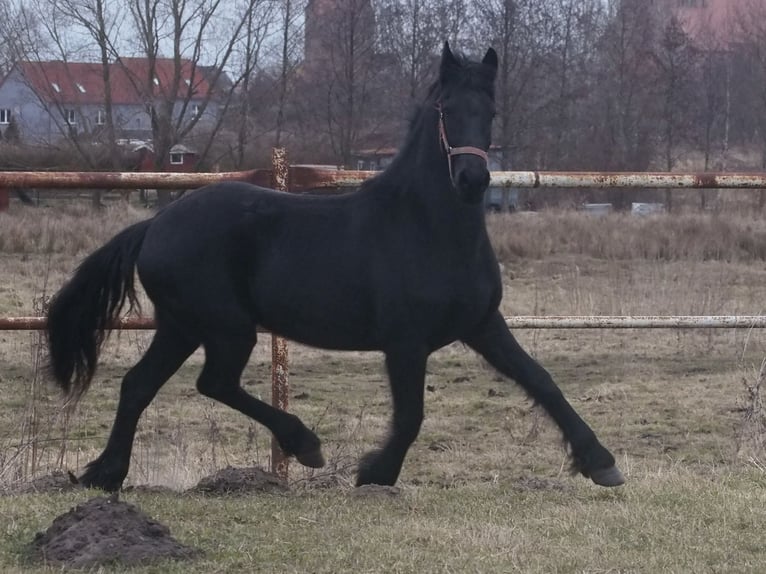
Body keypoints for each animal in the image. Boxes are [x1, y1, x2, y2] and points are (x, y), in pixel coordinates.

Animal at [45, 44, 628, 490]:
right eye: (446, 108)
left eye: (490, 111)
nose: (472, 179)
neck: (427, 229)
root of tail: (156, 224)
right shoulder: (405, 341)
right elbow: (411, 415)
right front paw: (375, 474)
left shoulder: (483, 325)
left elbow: (542, 380)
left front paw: (601, 463)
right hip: (225, 327)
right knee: (212, 383)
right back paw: (304, 444)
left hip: (181, 326)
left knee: (138, 386)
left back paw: (104, 474)